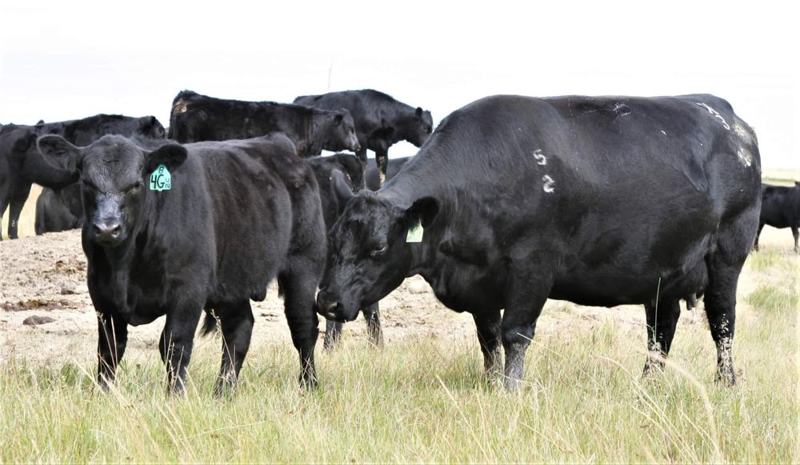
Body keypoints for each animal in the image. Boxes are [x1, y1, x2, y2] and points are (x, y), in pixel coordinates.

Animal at [36, 133, 325, 394]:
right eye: (87, 182)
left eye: (136, 184)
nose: (108, 228)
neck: (125, 265)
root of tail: (282, 148)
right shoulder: (102, 294)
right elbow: (109, 350)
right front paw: (103, 394)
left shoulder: (188, 291)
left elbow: (174, 345)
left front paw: (175, 395)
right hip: (232, 281)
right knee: (239, 329)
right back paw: (223, 391)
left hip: (304, 265)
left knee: (303, 326)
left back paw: (309, 386)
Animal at [294, 89, 433, 176]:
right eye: (425, 128)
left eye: (431, 128)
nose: (428, 144)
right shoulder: (361, 142)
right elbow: (362, 165)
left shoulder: (382, 148)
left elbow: (382, 171)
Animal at [316, 94, 761, 390]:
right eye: (334, 239)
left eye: (377, 248)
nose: (327, 302)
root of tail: (728, 116)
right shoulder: (480, 284)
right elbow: (488, 338)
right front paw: (491, 384)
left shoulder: (533, 267)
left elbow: (515, 333)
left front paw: (511, 391)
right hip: (663, 271)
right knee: (661, 331)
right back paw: (648, 384)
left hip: (727, 257)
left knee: (722, 323)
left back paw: (726, 382)